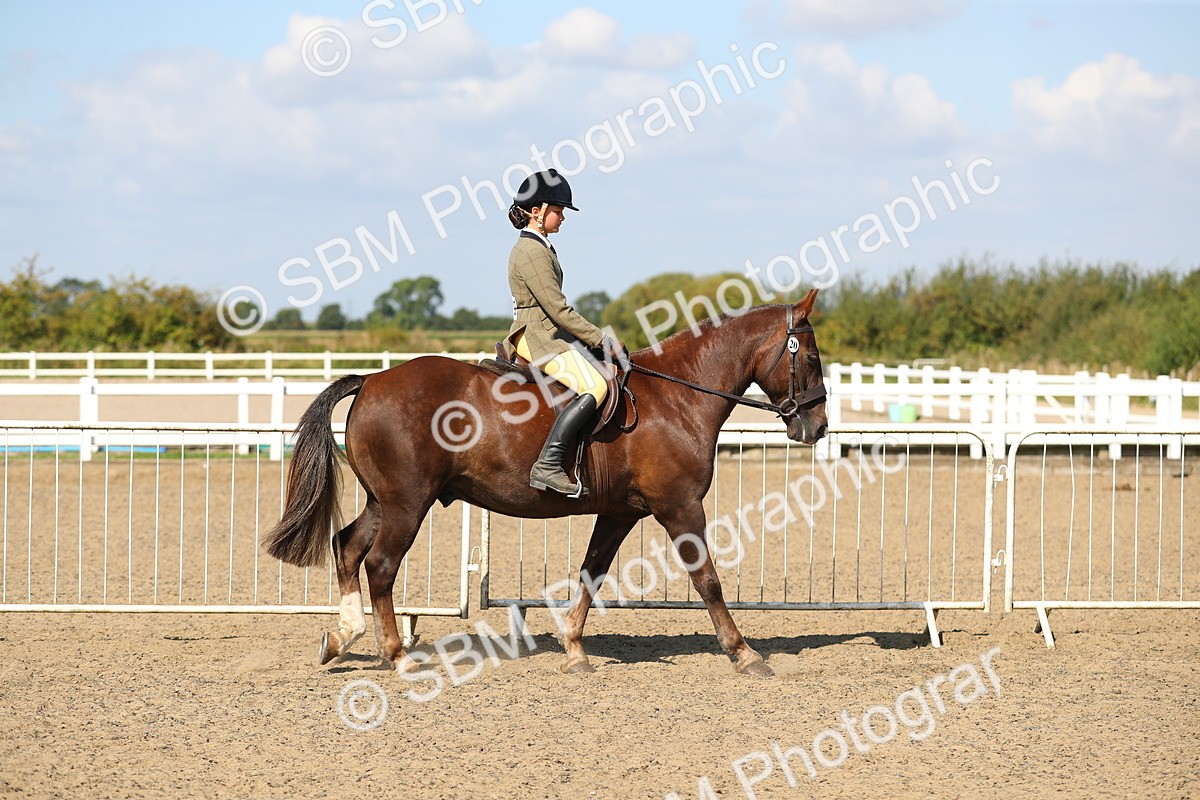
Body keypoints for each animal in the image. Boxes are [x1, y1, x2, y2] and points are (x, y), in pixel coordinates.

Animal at [265, 289, 827, 677]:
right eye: (811, 357)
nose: (817, 427)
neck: (677, 399)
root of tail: (371, 380)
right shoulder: (680, 506)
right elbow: (707, 578)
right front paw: (744, 653)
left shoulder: (619, 512)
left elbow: (591, 573)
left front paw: (574, 649)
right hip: (407, 503)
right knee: (380, 565)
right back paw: (398, 656)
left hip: (384, 501)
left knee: (347, 547)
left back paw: (342, 637)